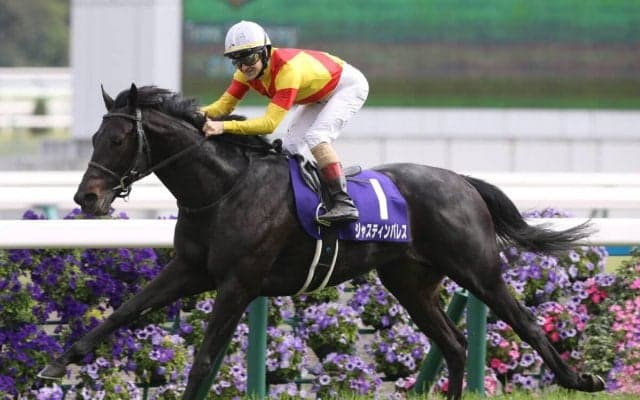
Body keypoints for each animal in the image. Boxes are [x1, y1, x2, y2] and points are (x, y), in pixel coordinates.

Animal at [39, 84, 605, 399]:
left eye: (117, 139)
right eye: (94, 139)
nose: (87, 197)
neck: (224, 188)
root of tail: (462, 181)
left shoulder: (238, 284)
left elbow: (203, 359)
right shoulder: (190, 270)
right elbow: (122, 312)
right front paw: (57, 362)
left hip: (477, 268)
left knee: (524, 321)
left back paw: (581, 380)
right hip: (409, 282)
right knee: (454, 343)